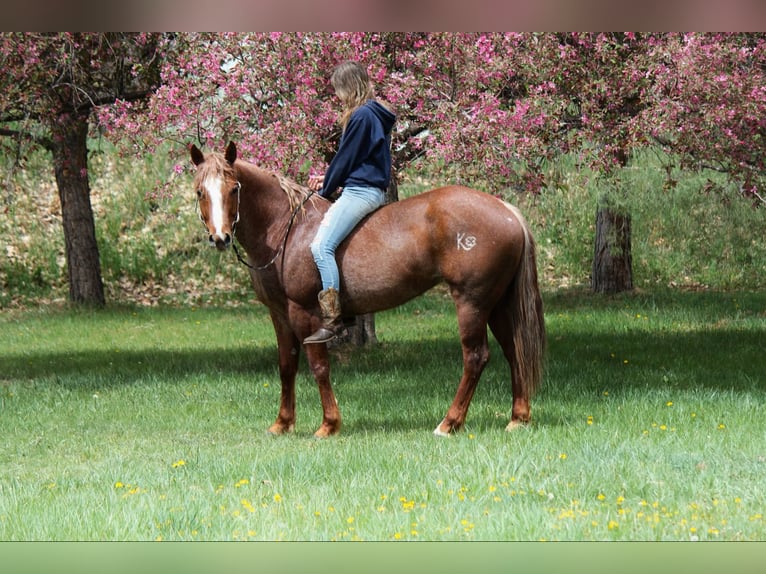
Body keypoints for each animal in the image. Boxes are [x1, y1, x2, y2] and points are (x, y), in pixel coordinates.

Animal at [190, 141, 545, 438]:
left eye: (234, 188)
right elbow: (286, 365)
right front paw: (282, 423)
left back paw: (449, 422)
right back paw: (517, 417)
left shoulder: (304, 313)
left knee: (475, 357)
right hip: (497, 304)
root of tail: (506, 211)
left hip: (471, 303)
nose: (220, 237)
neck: (287, 228)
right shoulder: (279, 313)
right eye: (199, 192)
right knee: (513, 350)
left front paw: (328, 424)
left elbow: (318, 366)